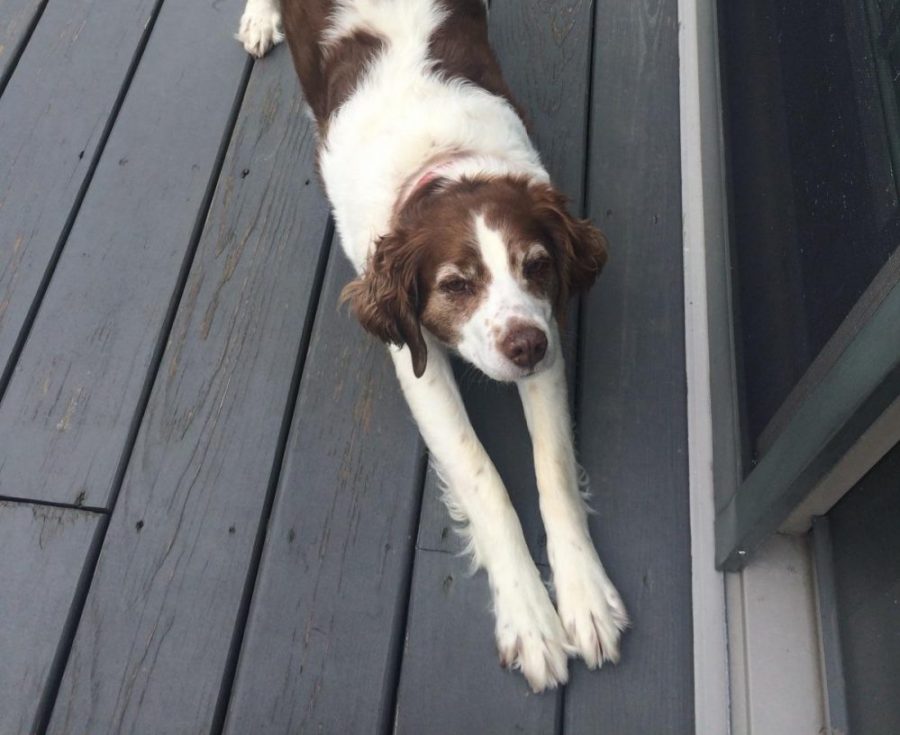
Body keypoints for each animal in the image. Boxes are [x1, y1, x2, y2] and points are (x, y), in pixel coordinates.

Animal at [236, 0, 624, 692]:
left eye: (537, 266)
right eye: (456, 285)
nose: (526, 348)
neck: (445, 160)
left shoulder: (543, 330)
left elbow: (551, 467)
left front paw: (583, 596)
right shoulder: (415, 355)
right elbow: (484, 477)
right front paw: (530, 617)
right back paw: (260, 19)